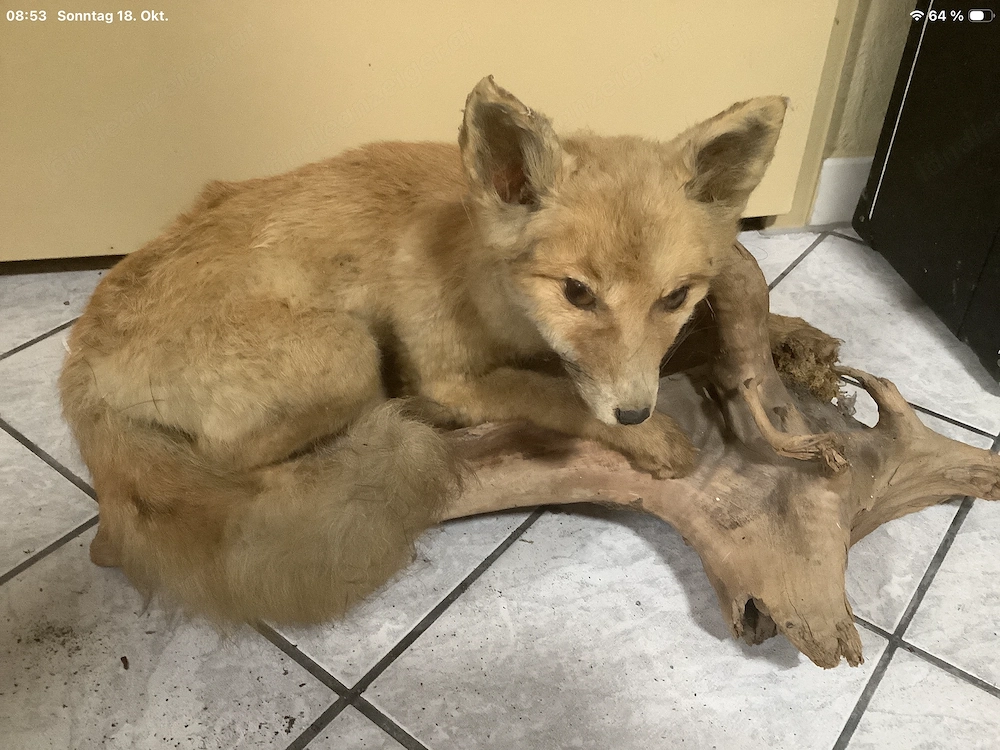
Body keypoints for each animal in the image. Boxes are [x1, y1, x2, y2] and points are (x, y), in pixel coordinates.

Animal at [60, 77, 787, 625]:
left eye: (676, 297)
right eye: (577, 293)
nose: (635, 413)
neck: (482, 278)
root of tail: (80, 357)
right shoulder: (450, 374)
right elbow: (553, 393)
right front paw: (650, 438)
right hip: (343, 351)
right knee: (230, 463)